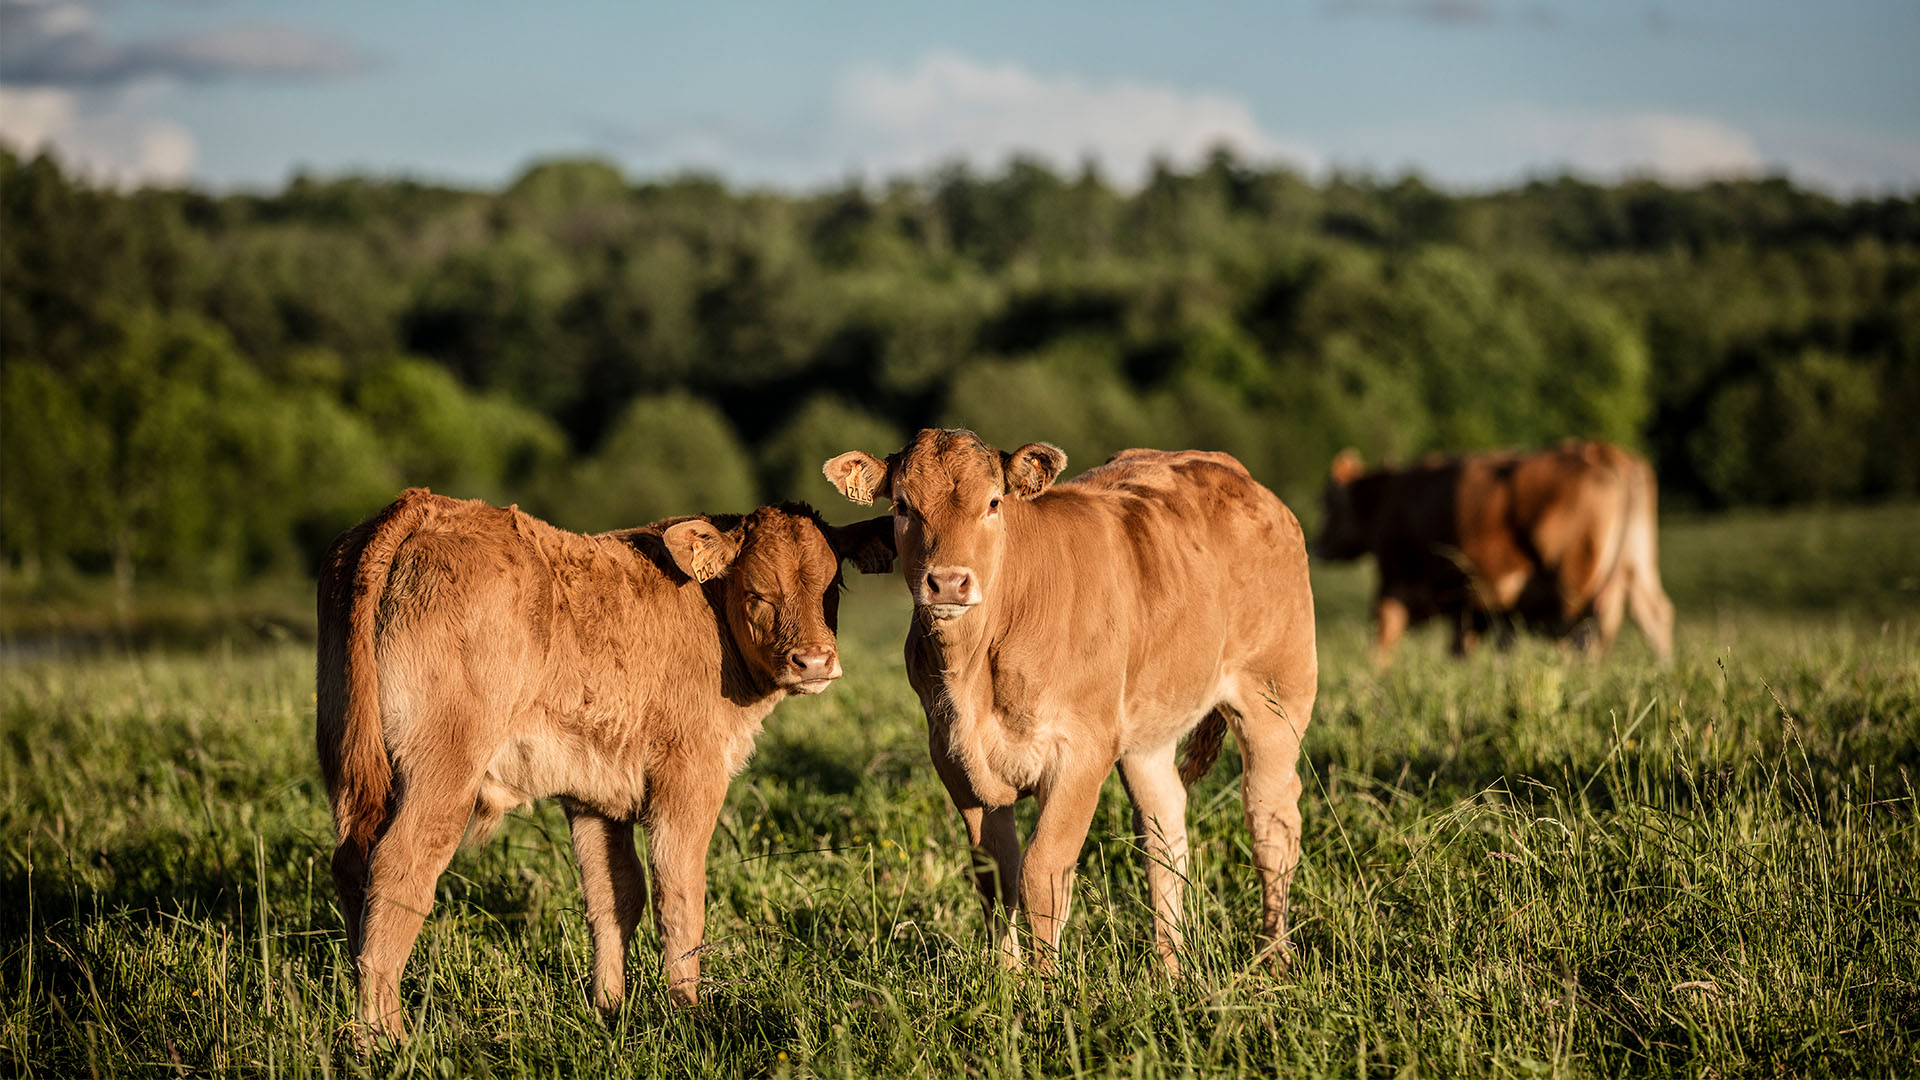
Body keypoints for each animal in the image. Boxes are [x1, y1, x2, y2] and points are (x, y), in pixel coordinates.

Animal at [318, 488, 894, 1037]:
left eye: (832, 587)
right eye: (757, 593)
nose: (814, 662)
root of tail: (423, 506)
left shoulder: (594, 791)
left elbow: (614, 896)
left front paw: (609, 1009)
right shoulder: (691, 774)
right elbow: (679, 895)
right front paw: (687, 1012)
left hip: (349, 763)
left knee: (352, 865)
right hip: (444, 767)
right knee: (401, 868)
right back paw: (382, 1037)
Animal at [817, 430, 1313, 976]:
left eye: (994, 502)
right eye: (903, 506)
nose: (947, 581)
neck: (976, 672)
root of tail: (1232, 473)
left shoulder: (1081, 751)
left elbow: (1042, 871)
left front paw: (1048, 985)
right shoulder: (951, 755)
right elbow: (996, 875)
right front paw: (1008, 980)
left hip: (1276, 697)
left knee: (1271, 819)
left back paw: (1274, 957)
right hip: (1147, 733)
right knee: (1163, 831)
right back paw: (1171, 967)